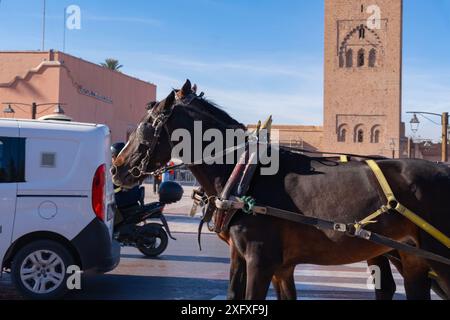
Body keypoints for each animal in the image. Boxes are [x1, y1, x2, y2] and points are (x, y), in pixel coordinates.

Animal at [112, 80, 450, 300]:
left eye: (147, 124)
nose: (117, 168)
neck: (246, 175)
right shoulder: (265, 264)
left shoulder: (260, 261)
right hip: (411, 258)